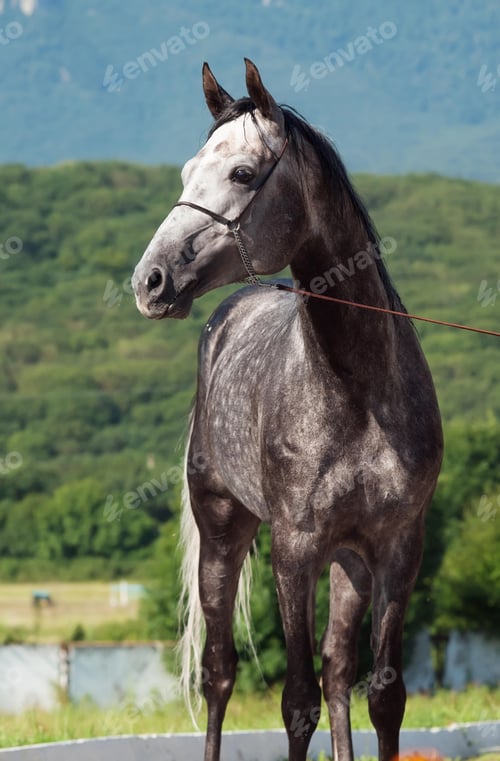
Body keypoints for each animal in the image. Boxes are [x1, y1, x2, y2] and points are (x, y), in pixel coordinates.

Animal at [132, 59, 443, 761]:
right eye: (187, 172)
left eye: (243, 174)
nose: (149, 281)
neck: (358, 391)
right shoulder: (293, 549)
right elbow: (295, 702)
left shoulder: (397, 548)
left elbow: (382, 697)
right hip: (223, 534)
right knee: (219, 674)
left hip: (349, 563)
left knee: (337, 670)